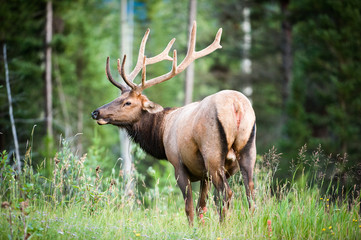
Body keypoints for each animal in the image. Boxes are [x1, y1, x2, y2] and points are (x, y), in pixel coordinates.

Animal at [93, 21, 256, 225]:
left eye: (128, 102)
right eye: (118, 97)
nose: (96, 112)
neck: (161, 133)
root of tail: (237, 105)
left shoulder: (178, 163)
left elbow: (189, 207)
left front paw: (193, 228)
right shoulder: (204, 175)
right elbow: (202, 205)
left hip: (212, 153)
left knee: (227, 193)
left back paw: (223, 226)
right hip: (248, 150)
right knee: (251, 192)